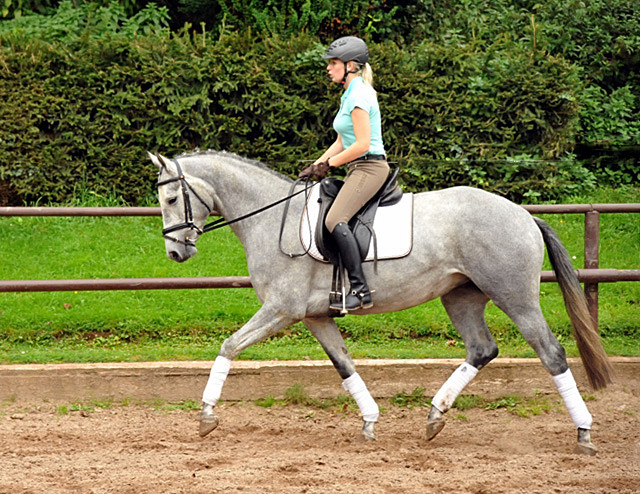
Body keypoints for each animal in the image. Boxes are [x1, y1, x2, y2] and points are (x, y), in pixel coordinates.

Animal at [150, 151, 616, 456]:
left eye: (171, 199)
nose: (174, 252)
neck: (269, 218)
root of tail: (523, 214)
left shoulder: (282, 310)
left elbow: (229, 346)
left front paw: (206, 416)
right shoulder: (315, 316)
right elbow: (344, 365)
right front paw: (370, 421)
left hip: (515, 297)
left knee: (551, 353)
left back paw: (584, 432)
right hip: (460, 297)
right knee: (482, 349)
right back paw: (434, 417)